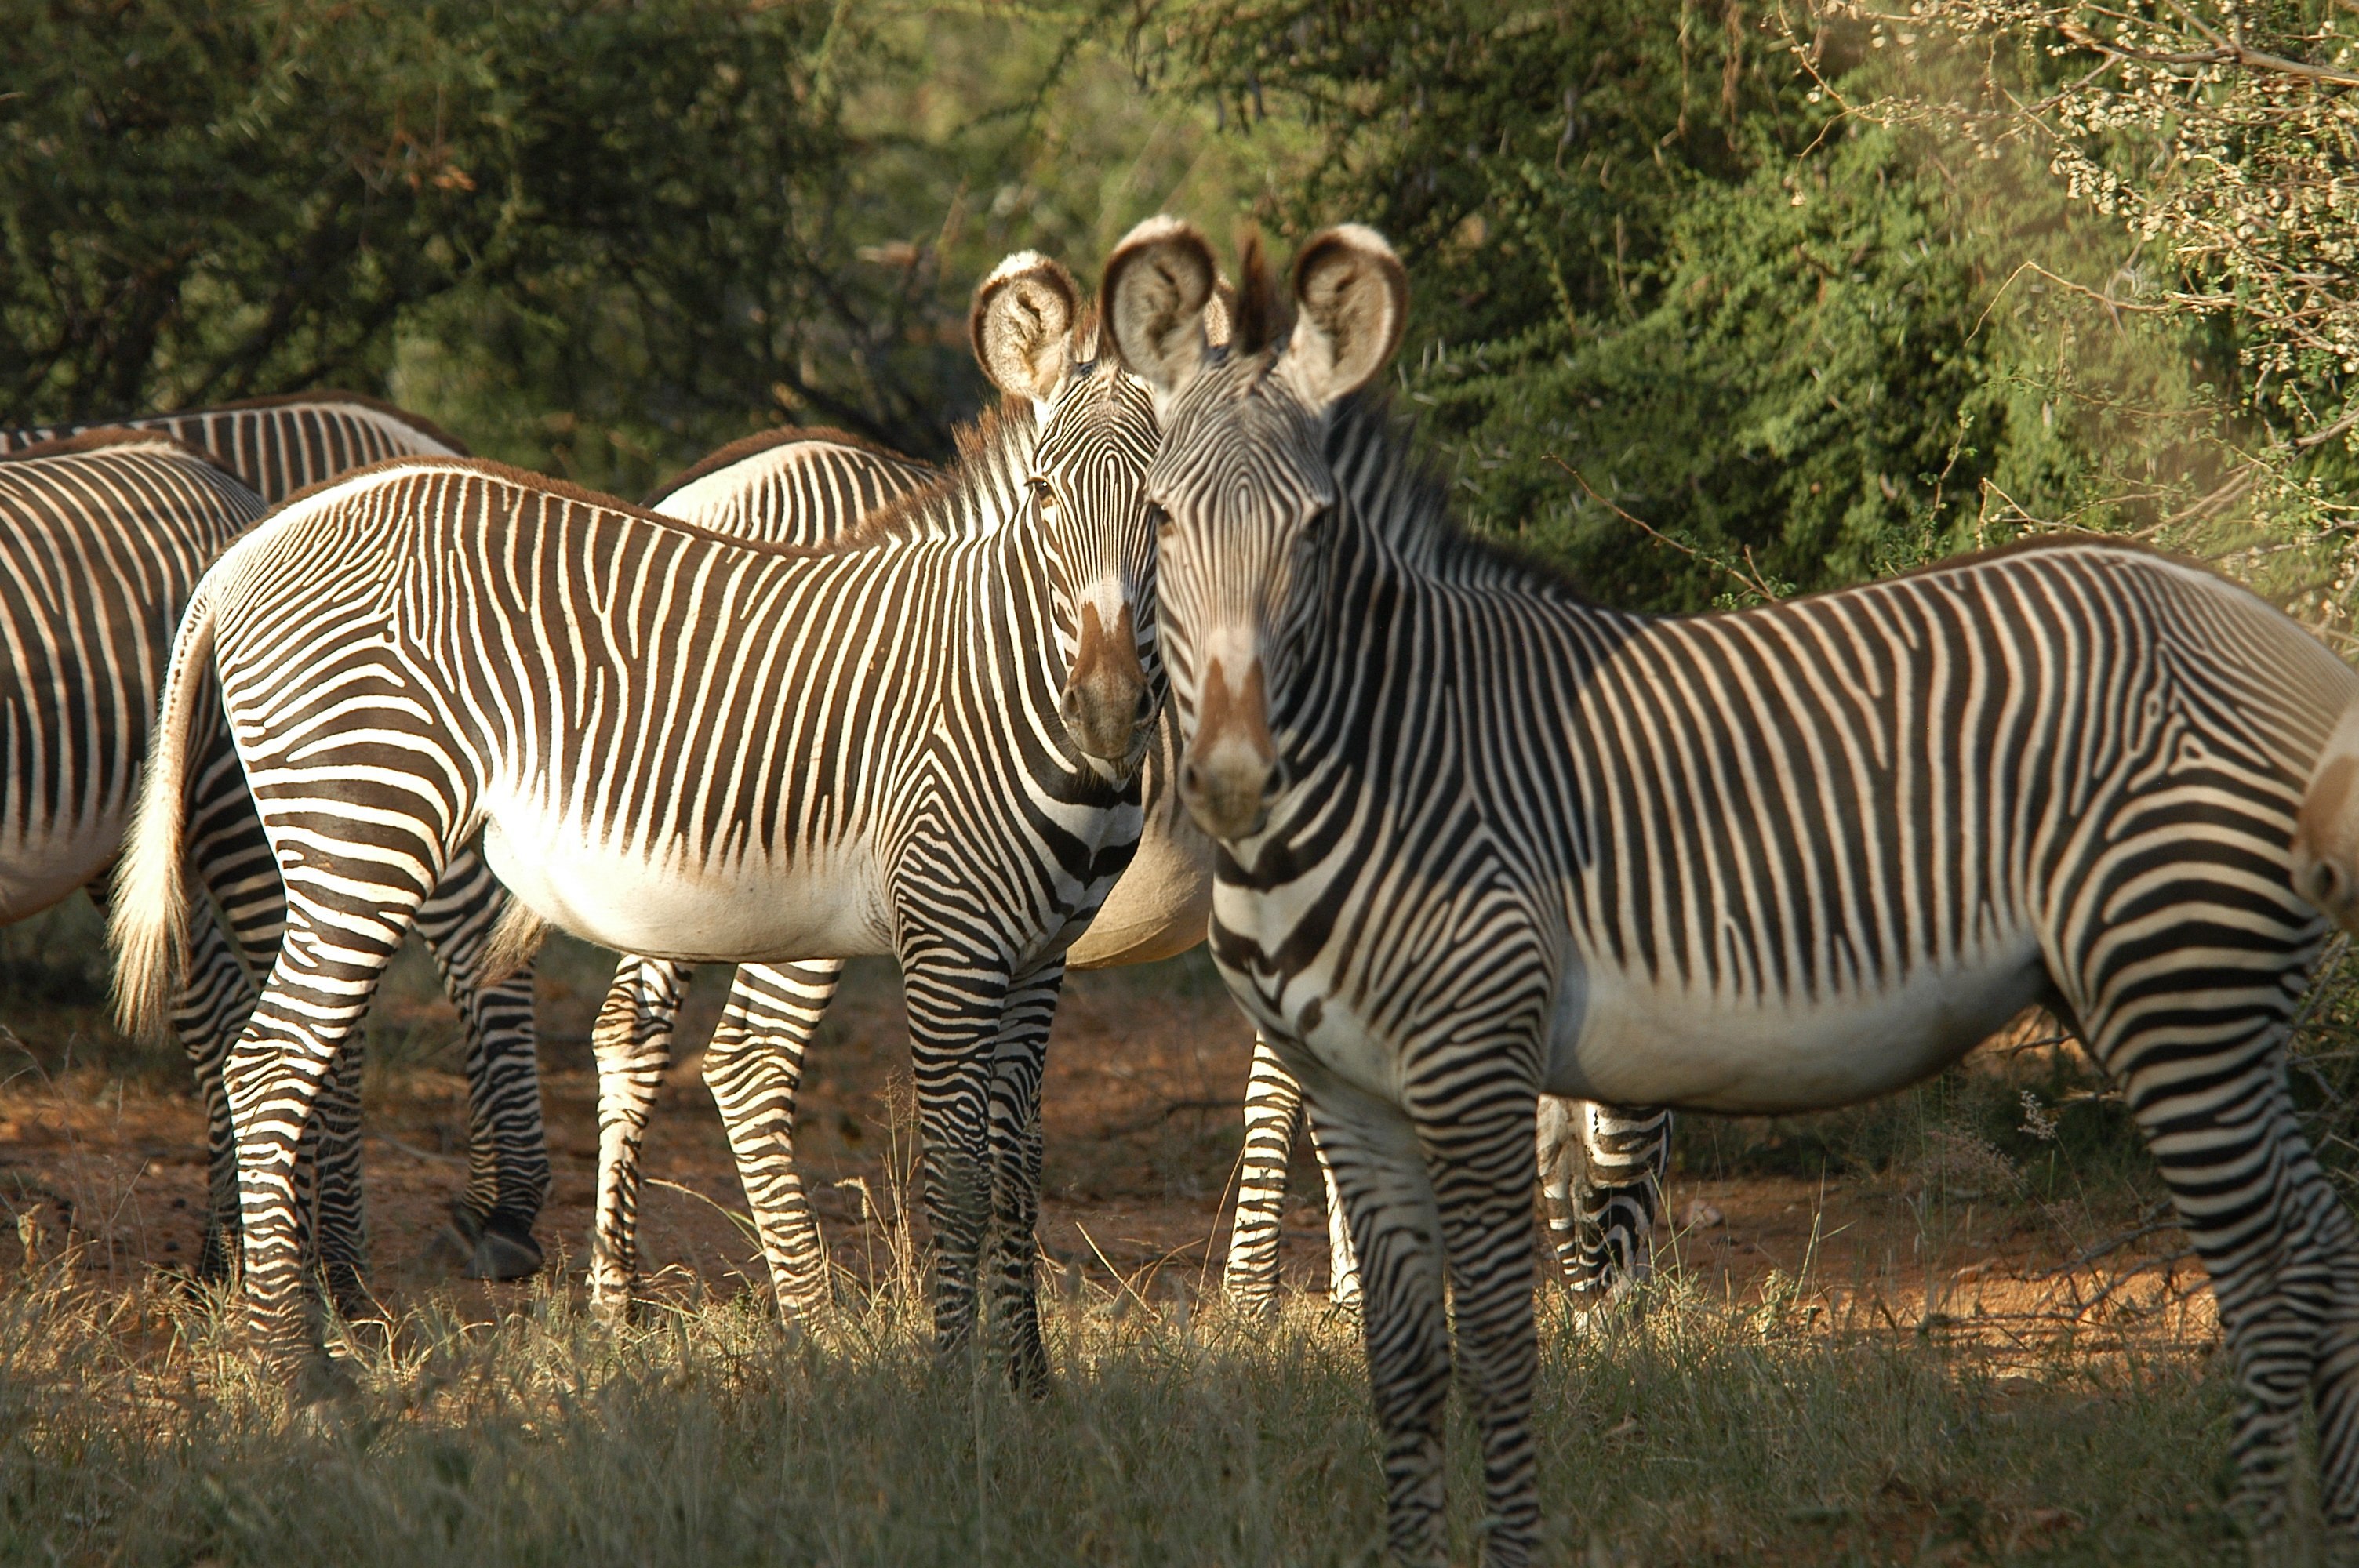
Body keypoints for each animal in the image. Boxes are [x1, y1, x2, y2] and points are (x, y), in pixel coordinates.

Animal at [112, 253, 1169, 1386]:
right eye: (1046, 496)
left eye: (1161, 507)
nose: (1109, 712)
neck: (999, 672)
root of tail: (244, 551)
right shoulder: (950, 938)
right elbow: (958, 1172)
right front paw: (946, 1391)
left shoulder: (1042, 954)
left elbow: (1019, 1166)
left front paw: (1027, 1387)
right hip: (363, 825)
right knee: (269, 1069)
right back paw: (298, 1369)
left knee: (287, 1063)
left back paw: (313, 1329)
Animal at [1103, 216, 2359, 1555]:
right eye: (1161, 522)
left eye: (1318, 530)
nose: (1234, 776)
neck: (1392, 746)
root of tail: (2281, 641)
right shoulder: (1352, 1093)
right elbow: (1400, 1373)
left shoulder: (1474, 1062)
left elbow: (1495, 1352)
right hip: (2194, 995)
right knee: (2322, 1253)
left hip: (2179, 979)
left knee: (2270, 1278)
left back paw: (2262, 1535)